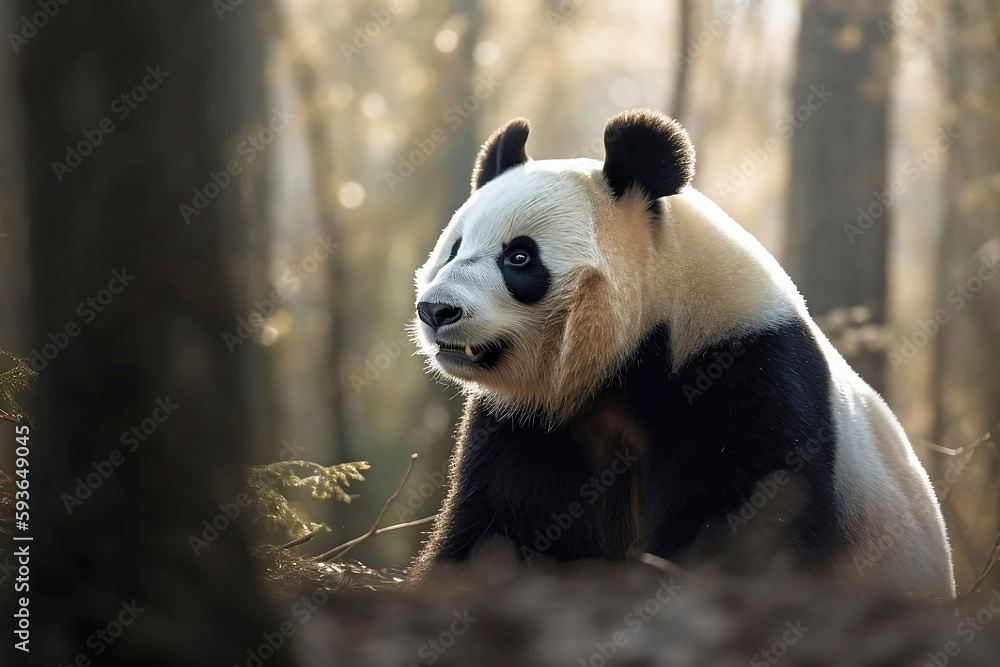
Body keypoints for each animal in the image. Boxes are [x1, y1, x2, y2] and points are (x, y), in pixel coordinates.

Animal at [409, 109, 955, 599]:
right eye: (455, 247)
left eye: (520, 257)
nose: (436, 310)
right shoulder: (538, 422)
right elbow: (510, 519)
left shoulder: (745, 365)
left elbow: (746, 515)